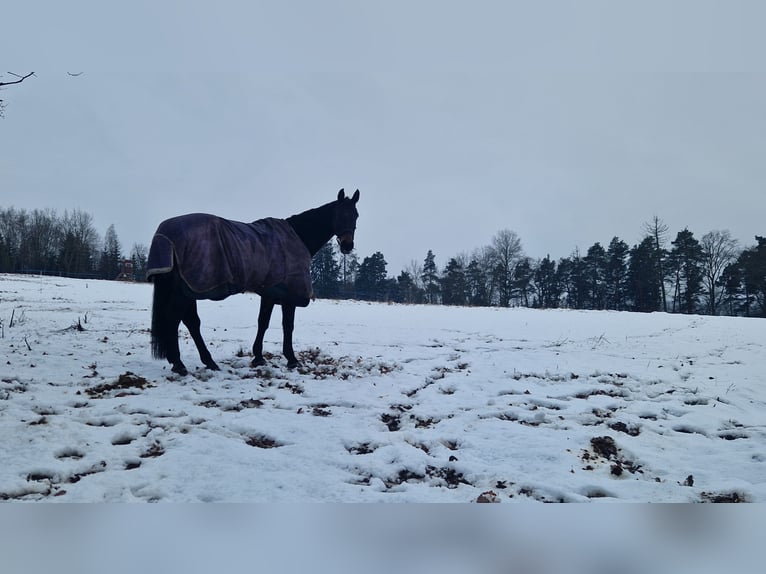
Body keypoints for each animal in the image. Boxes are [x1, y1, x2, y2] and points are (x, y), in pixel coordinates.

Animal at [147, 189, 360, 376]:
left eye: (355, 215)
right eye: (340, 214)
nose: (348, 246)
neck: (298, 235)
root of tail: (165, 234)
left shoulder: (270, 293)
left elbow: (262, 323)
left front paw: (258, 357)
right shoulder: (288, 295)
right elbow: (287, 325)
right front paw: (291, 359)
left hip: (188, 289)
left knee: (191, 322)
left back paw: (207, 362)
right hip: (185, 290)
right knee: (174, 319)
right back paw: (179, 364)